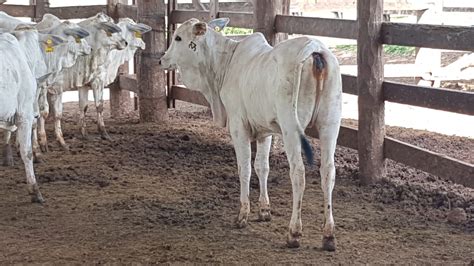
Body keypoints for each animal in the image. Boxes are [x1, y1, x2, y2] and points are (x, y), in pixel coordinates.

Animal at [159, 17, 340, 250]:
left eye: (178, 38)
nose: (162, 59)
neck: (224, 64)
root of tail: (314, 48)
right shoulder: (265, 131)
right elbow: (262, 167)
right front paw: (264, 211)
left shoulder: (238, 125)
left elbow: (243, 168)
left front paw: (242, 215)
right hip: (330, 123)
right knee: (328, 172)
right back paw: (328, 235)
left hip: (291, 126)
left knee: (298, 173)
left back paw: (294, 232)